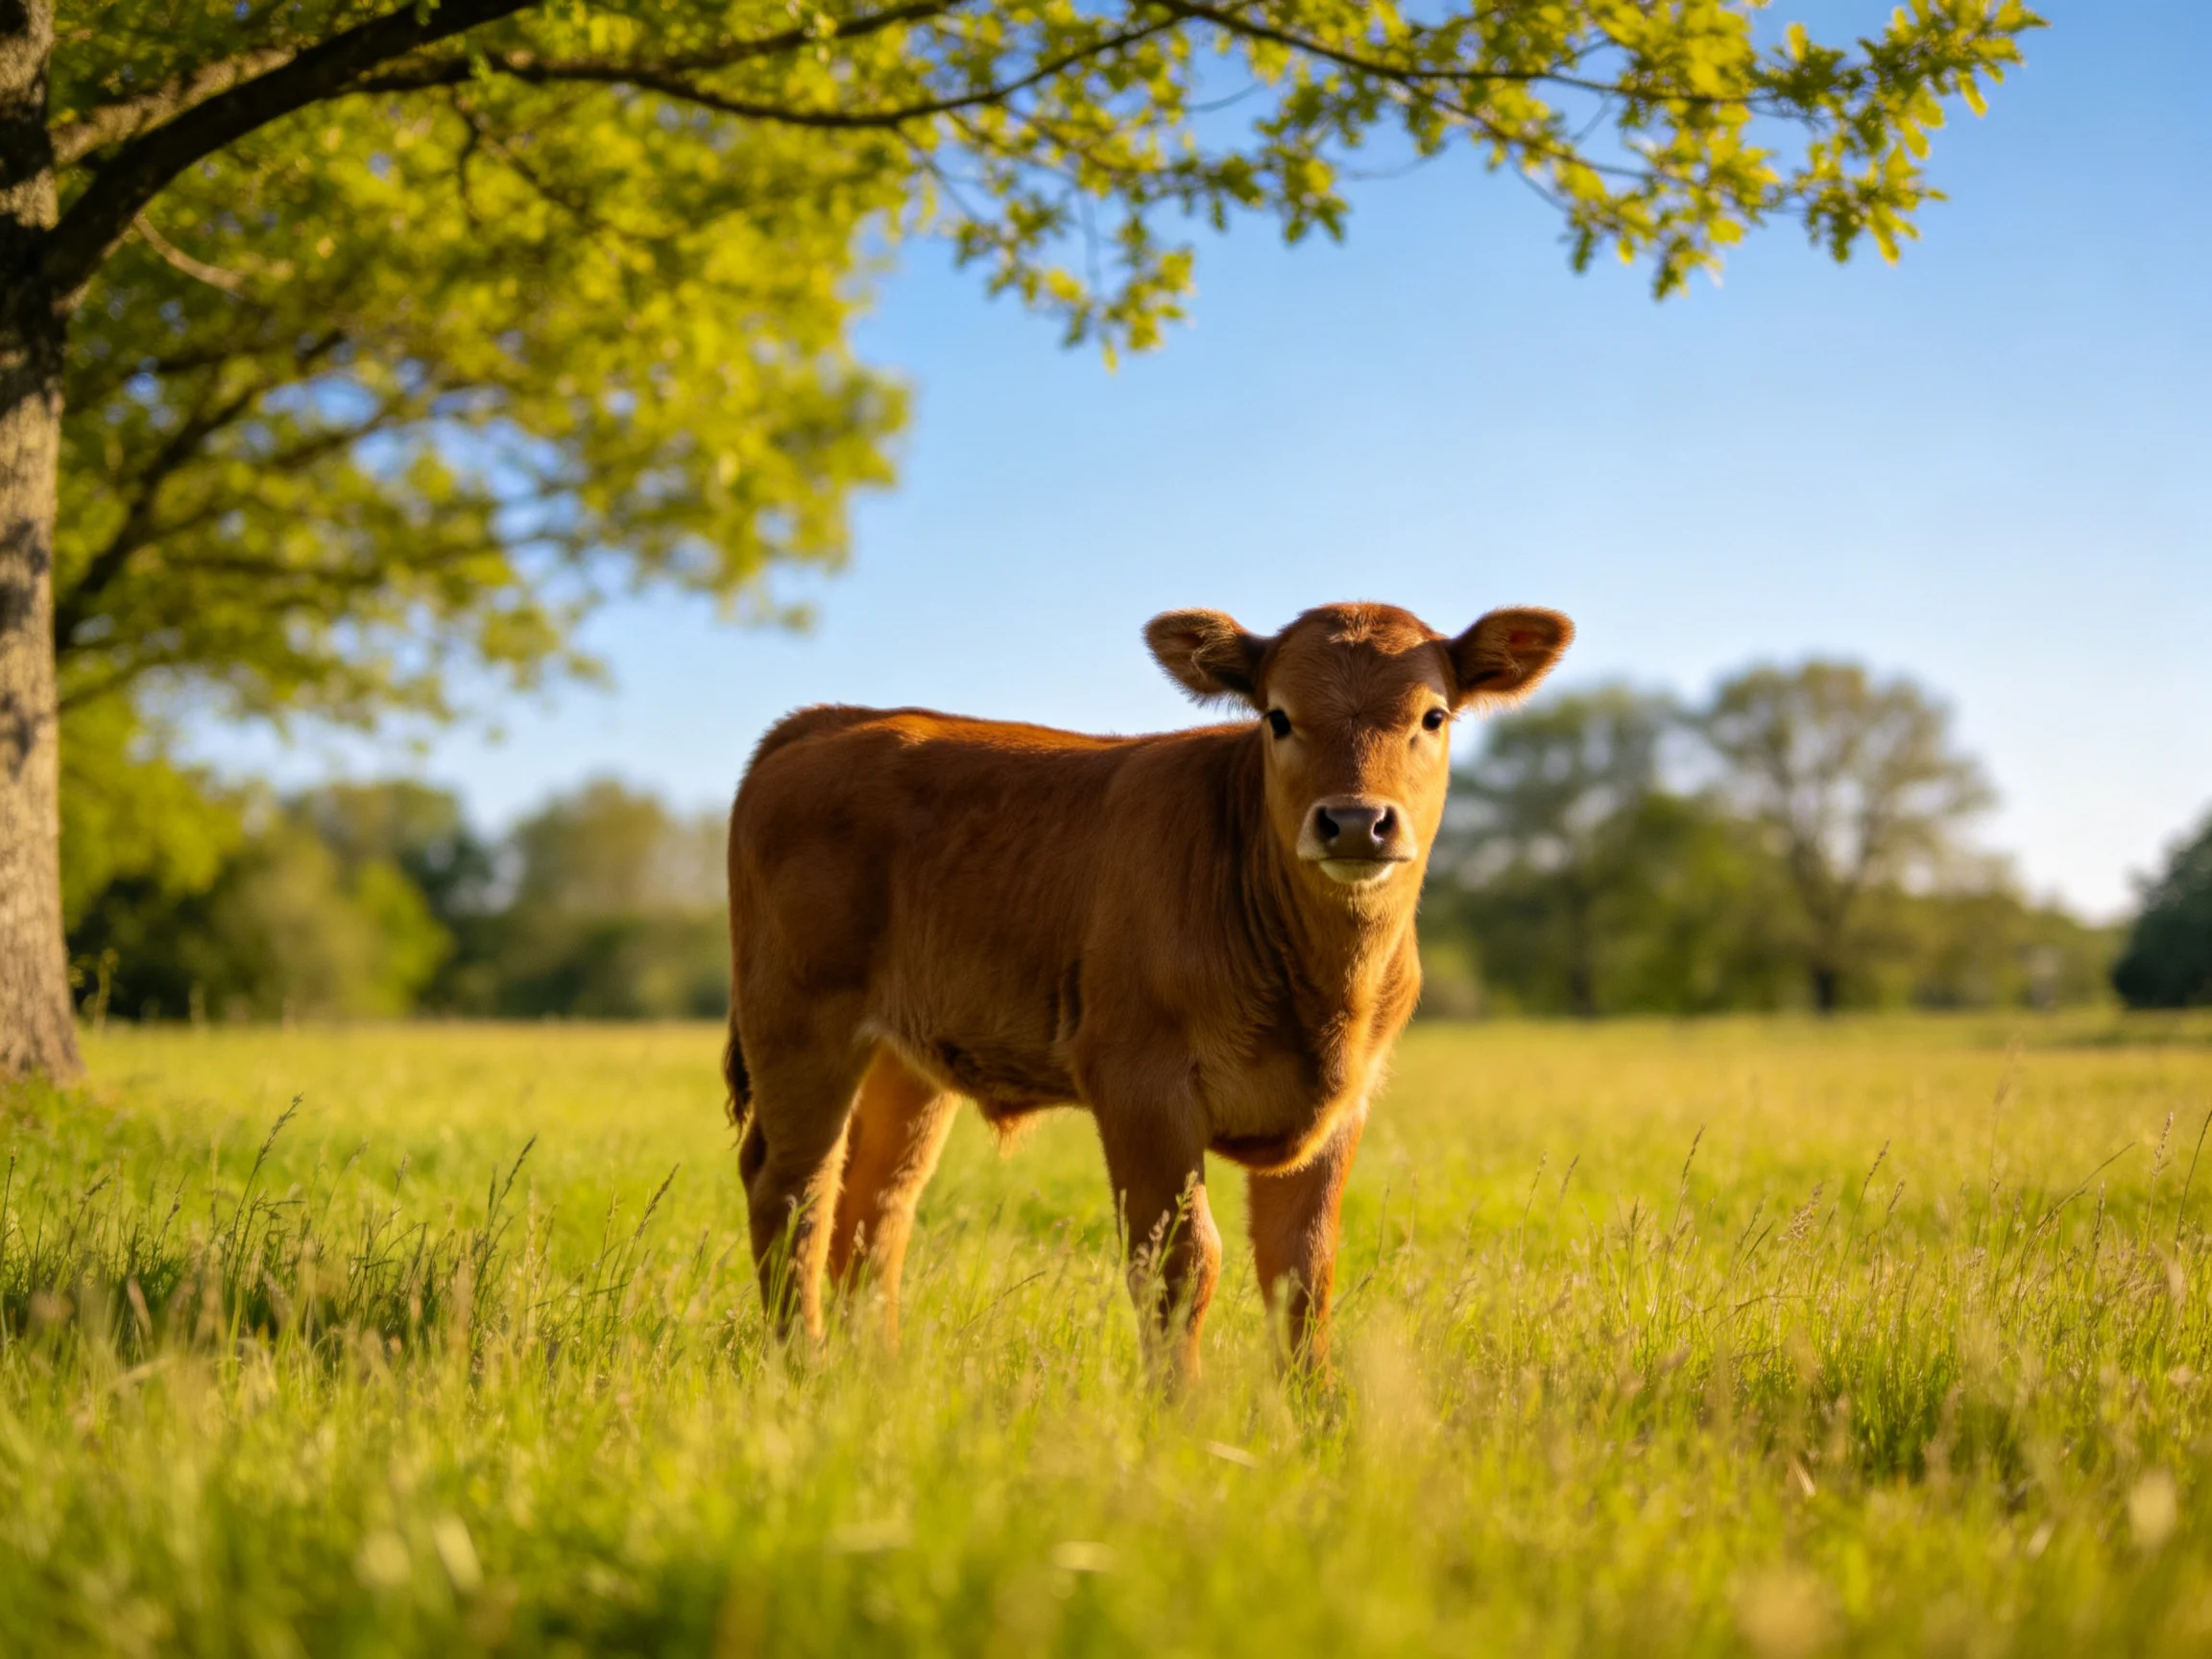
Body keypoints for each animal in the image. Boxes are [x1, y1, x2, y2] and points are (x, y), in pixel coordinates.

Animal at [722, 600, 1572, 1375]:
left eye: (1433, 715)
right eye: (1278, 717)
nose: (1357, 821)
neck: (1324, 986)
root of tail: (834, 721)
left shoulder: (1344, 1102)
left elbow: (1304, 1272)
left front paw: (1314, 1416)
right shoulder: (1139, 1083)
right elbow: (1180, 1265)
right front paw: (1180, 1415)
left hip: (908, 1058)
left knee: (876, 1204)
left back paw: (880, 1376)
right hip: (799, 1023)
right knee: (793, 1189)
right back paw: (800, 1365)